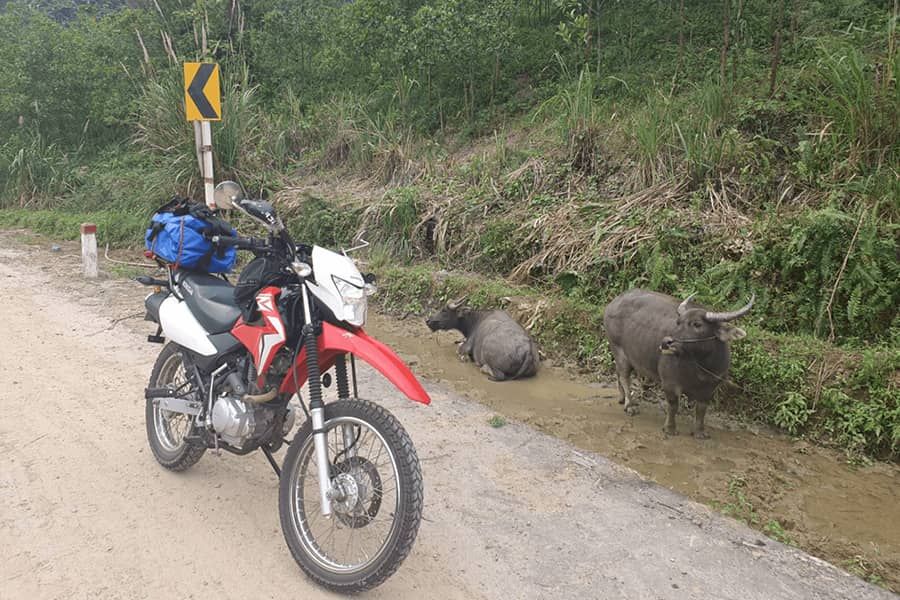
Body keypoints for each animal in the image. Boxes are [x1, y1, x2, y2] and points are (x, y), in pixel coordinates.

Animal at [604, 288, 752, 438]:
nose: (665, 342)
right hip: (618, 349)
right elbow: (673, 405)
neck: (700, 366)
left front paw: (700, 432)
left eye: (697, 324)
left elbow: (701, 410)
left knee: (618, 372)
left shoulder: (710, 388)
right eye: (678, 322)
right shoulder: (670, 383)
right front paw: (670, 429)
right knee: (624, 376)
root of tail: (613, 303)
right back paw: (630, 405)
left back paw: (622, 398)